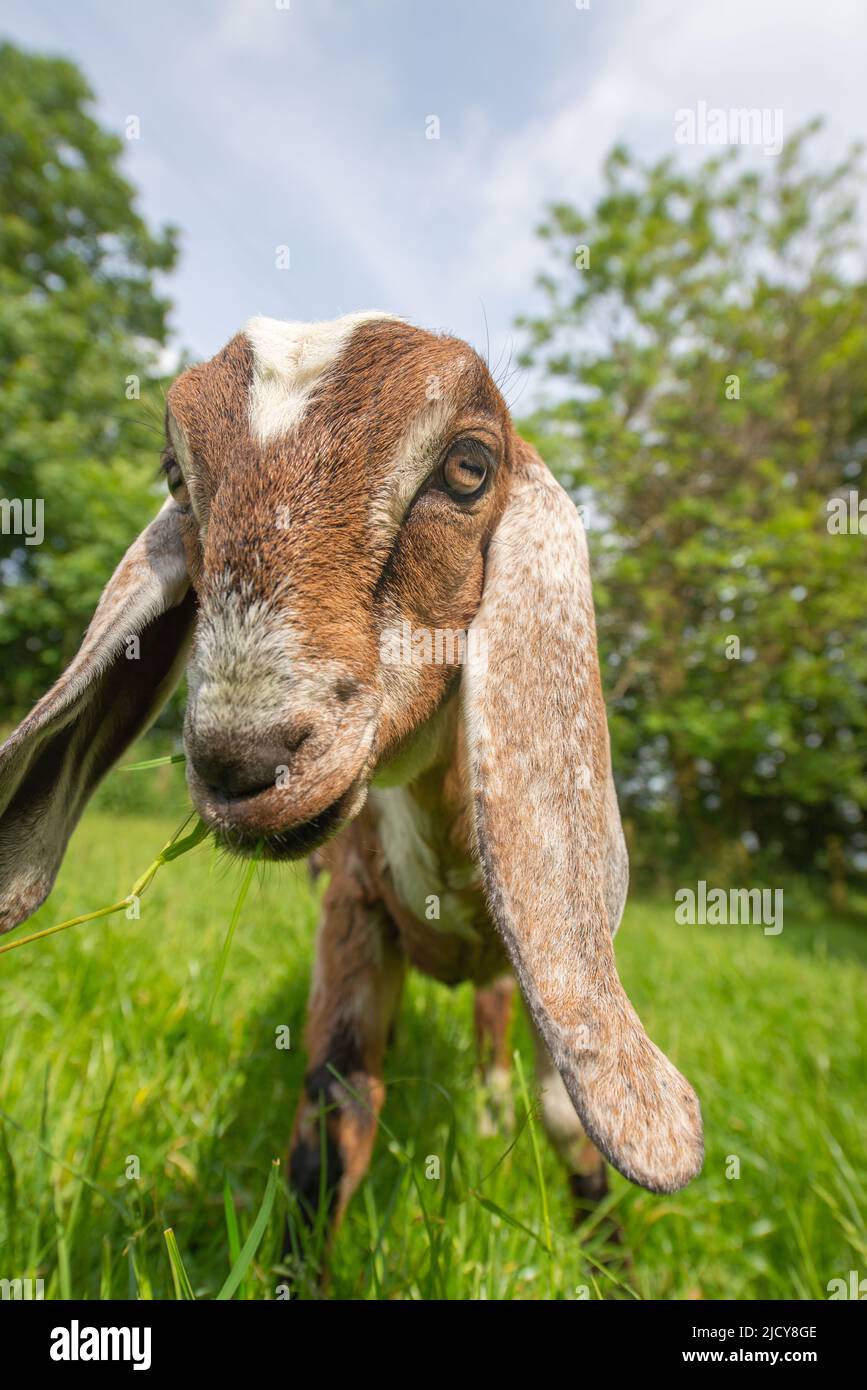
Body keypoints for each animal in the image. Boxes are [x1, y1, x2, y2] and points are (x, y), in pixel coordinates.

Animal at [0, 312, 705, 1228]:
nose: (241, 760)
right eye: (176, 477)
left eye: (469, 467)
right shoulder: (351, 909)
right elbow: (334, 1113)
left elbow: (564, 1114)